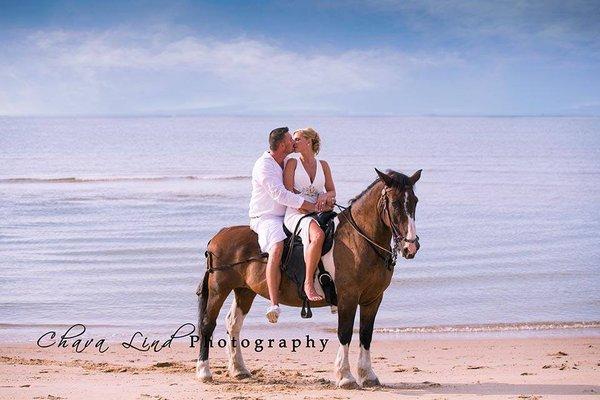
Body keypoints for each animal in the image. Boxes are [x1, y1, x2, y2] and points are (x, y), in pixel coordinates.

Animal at [197, 168, 422, 388]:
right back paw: (204, 371)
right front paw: (345, 376)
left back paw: (239, 369)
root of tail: (219, 236)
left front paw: (368, 376)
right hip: (219, 289)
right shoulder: (348, 298)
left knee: (233, 324)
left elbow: (366, 334)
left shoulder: (373, 299)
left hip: (244, 291)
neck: (359, 240)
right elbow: (345, 332)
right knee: (208, 323)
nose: (410, 246)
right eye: (394, 203)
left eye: (415, 201)